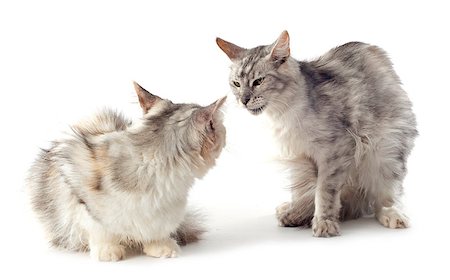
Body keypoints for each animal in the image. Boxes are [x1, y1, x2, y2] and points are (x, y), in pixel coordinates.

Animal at [26, 81, 227, 260]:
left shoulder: (165, 215)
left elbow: (157, 232)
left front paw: (162, 247)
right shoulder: (76, 186)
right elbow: (100, 230)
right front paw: (108, 251)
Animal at [216, 30, 416, 236]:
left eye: (258, 81)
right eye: (236, 84)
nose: (244, 100)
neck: (284, 114)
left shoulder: (335, 151)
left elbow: (324, 192)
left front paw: (324, 223)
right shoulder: (299, 157)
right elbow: (302, 192)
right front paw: (296, 212)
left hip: (384, 153)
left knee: (385, 196)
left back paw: (392, 215)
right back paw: (291, 212)